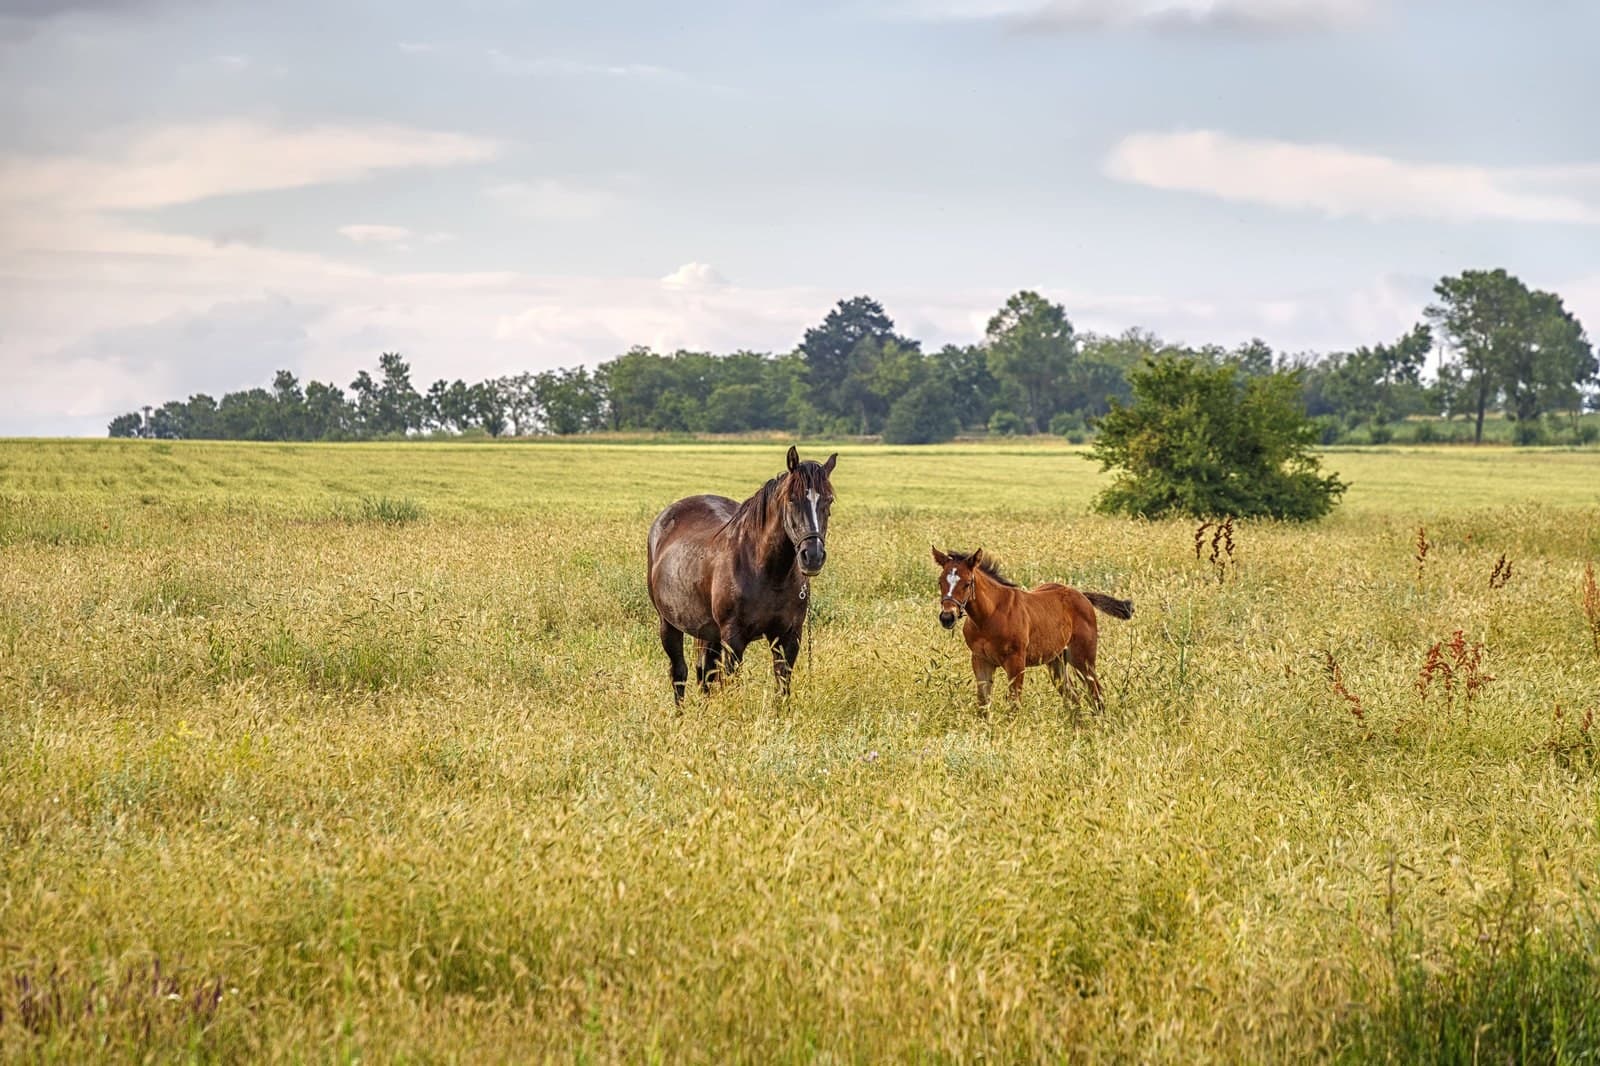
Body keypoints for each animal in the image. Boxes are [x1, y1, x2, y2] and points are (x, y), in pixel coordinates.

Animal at [647, 446, 838, 704]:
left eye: (828, 500)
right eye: (792, 499)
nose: (813, 556)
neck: (768, 573)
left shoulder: (788, 637)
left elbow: (782, 687)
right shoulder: (733, 639)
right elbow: (733, 685)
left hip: (708, 632)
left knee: (704, 673)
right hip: (668, 624)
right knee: (679, 673)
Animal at [931, 546, 1132, 713]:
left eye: (966, 583)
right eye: (940, 582)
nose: (947, 617)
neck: (988, 616)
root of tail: (1082, 595)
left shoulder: (1016, 662)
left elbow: (1014, 704)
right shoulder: (980, 660)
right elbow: (983, 704)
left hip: (1083, 658)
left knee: (1096, 693)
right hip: (1056, 661)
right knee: (1073, 696)